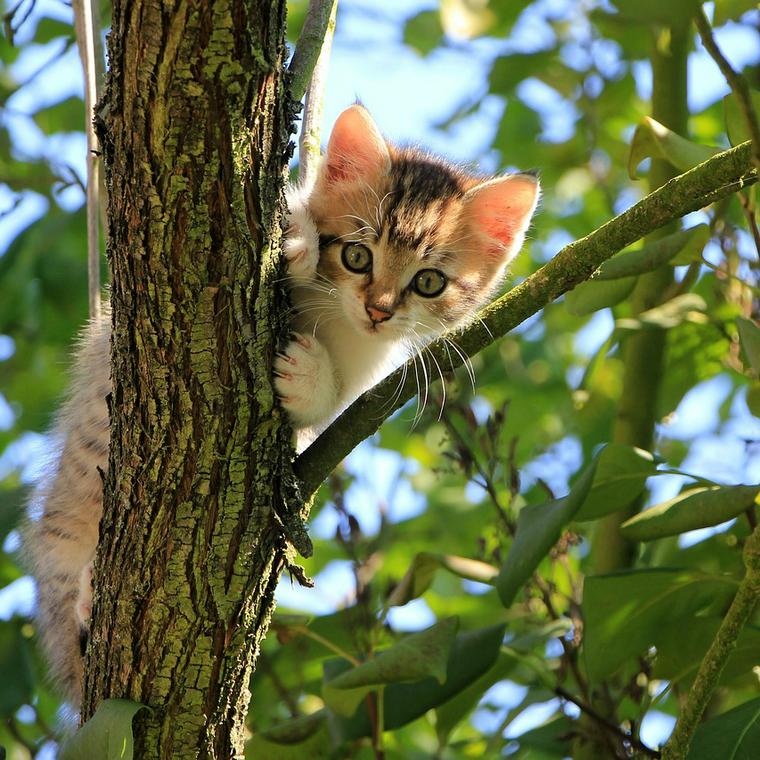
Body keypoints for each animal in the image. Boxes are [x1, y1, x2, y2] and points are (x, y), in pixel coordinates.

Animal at [25, 102, 540, 708]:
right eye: (357, 254)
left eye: (429, 282)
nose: (379, 310)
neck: (336, 318)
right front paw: (297, 241)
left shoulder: (364, 375)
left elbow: (328, 406)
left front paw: (307, 375)